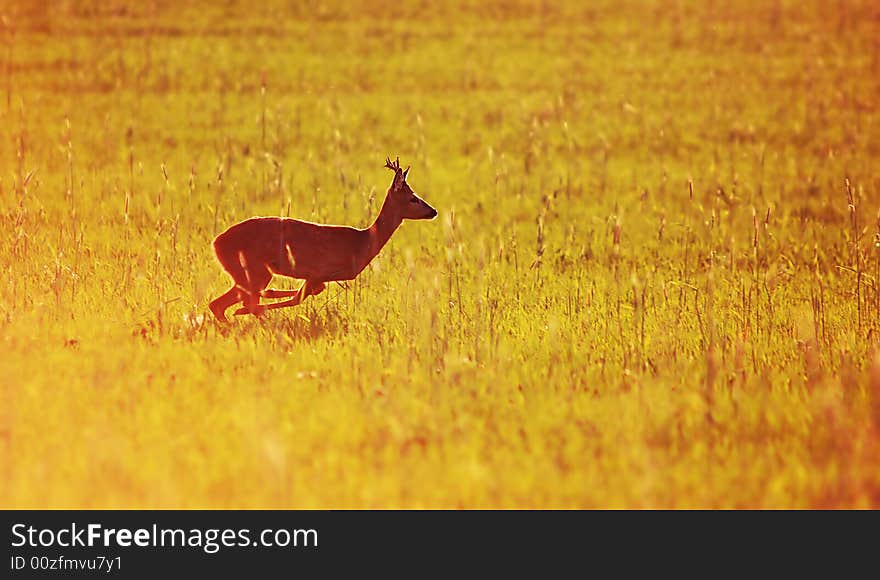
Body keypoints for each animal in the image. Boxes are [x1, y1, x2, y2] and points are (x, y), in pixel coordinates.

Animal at [210, 156, 436, 322]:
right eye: (413, 198)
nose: (433, 211)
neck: (363, 243)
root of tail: (216, 244)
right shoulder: (319, 271)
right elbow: (299, 297)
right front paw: (246, 311)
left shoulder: (318, 277)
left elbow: (307, 294)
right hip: (253, 270)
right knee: (231, 302)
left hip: (249, 274)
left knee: (220, 303)